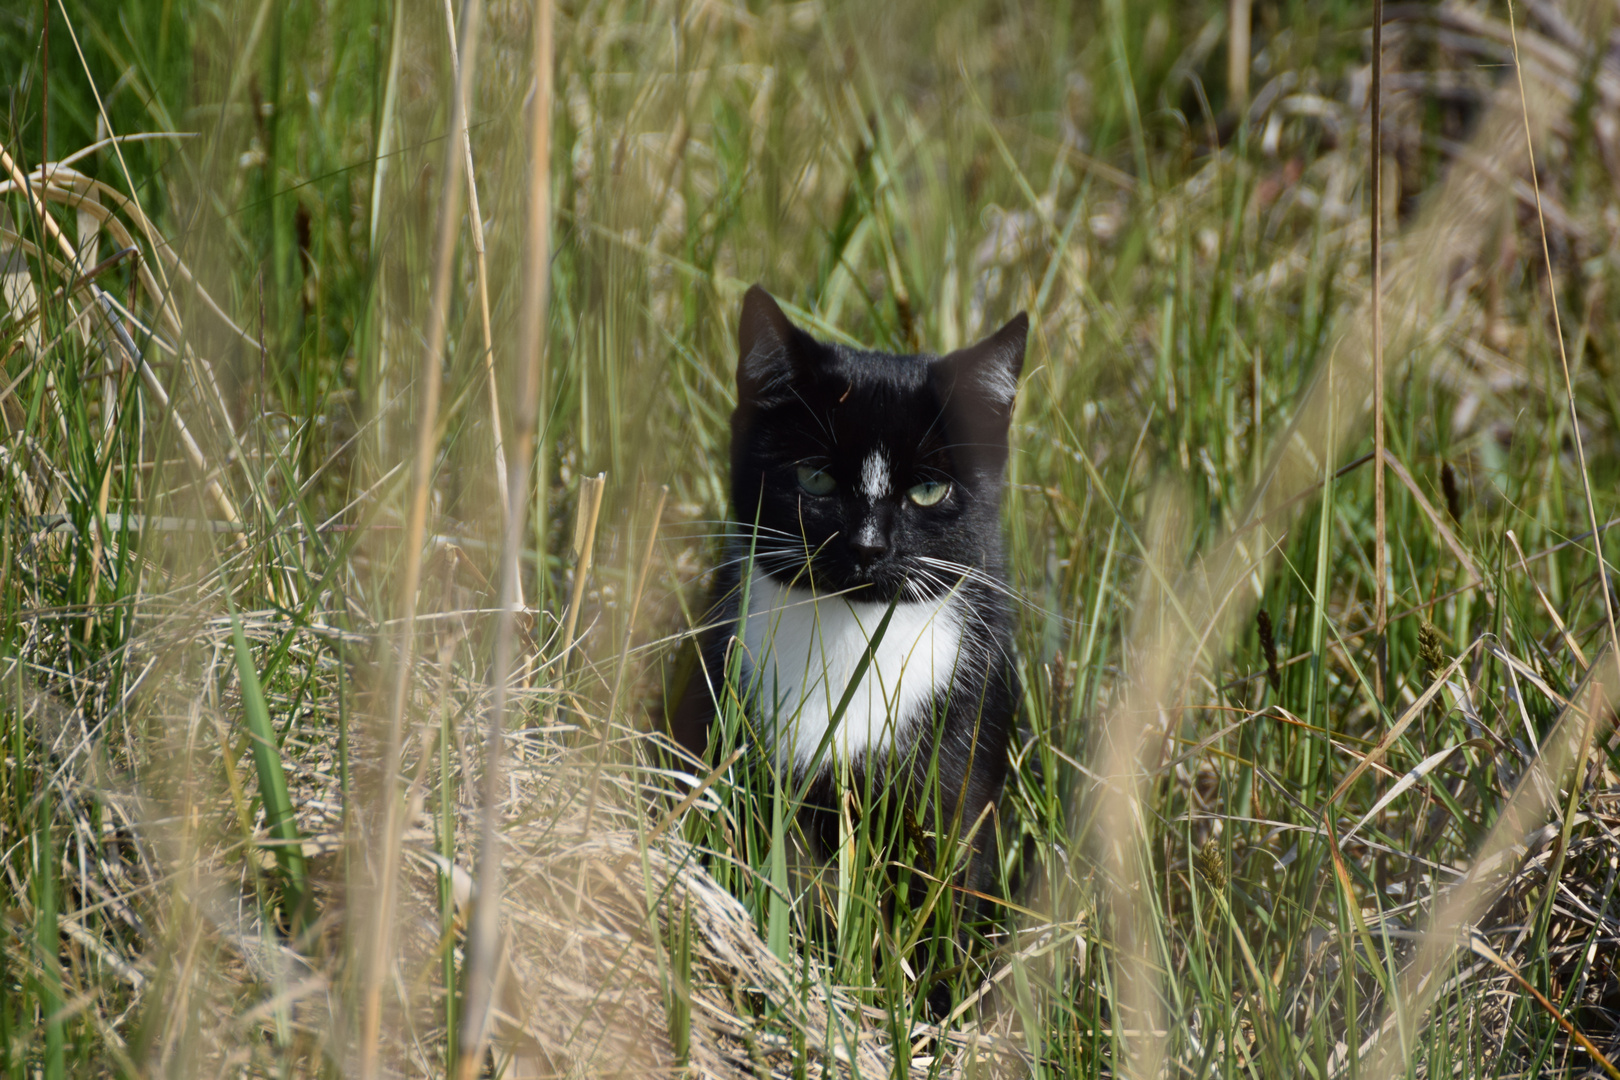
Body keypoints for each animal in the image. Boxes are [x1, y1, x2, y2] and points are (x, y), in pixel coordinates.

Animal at [667, 283, 1023, 1010]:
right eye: (816, 480)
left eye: (929, 489)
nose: (867, 548)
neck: (852, 640)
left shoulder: (957, 764)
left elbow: (946, 897)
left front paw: (933, 1014)